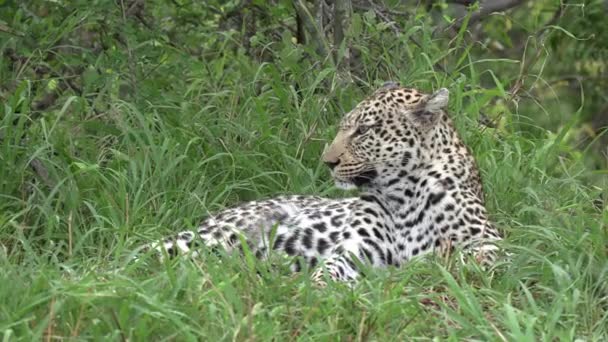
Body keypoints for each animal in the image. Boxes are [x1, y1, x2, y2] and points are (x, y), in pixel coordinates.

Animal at [145, 83, 502, 286]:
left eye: (363, 131)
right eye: (344, 127)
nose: (328, 162)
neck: (404, 195)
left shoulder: (489, 242)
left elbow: (464, 260)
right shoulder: (353, 251)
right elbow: (328, 271)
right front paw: (315, 289)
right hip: (211, 238)